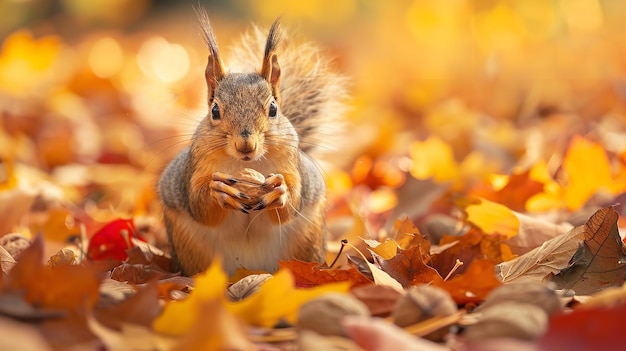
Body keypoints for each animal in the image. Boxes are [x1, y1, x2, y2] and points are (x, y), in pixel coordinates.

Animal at [157, 9, 346, 276]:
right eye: (215, 110)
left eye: (273, 109)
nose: (245, 145)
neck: (246, 164)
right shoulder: (196, 168)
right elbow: (199, 206)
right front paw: (218, 190)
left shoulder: (290, 164)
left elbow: (292, 204)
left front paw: (280, 190)